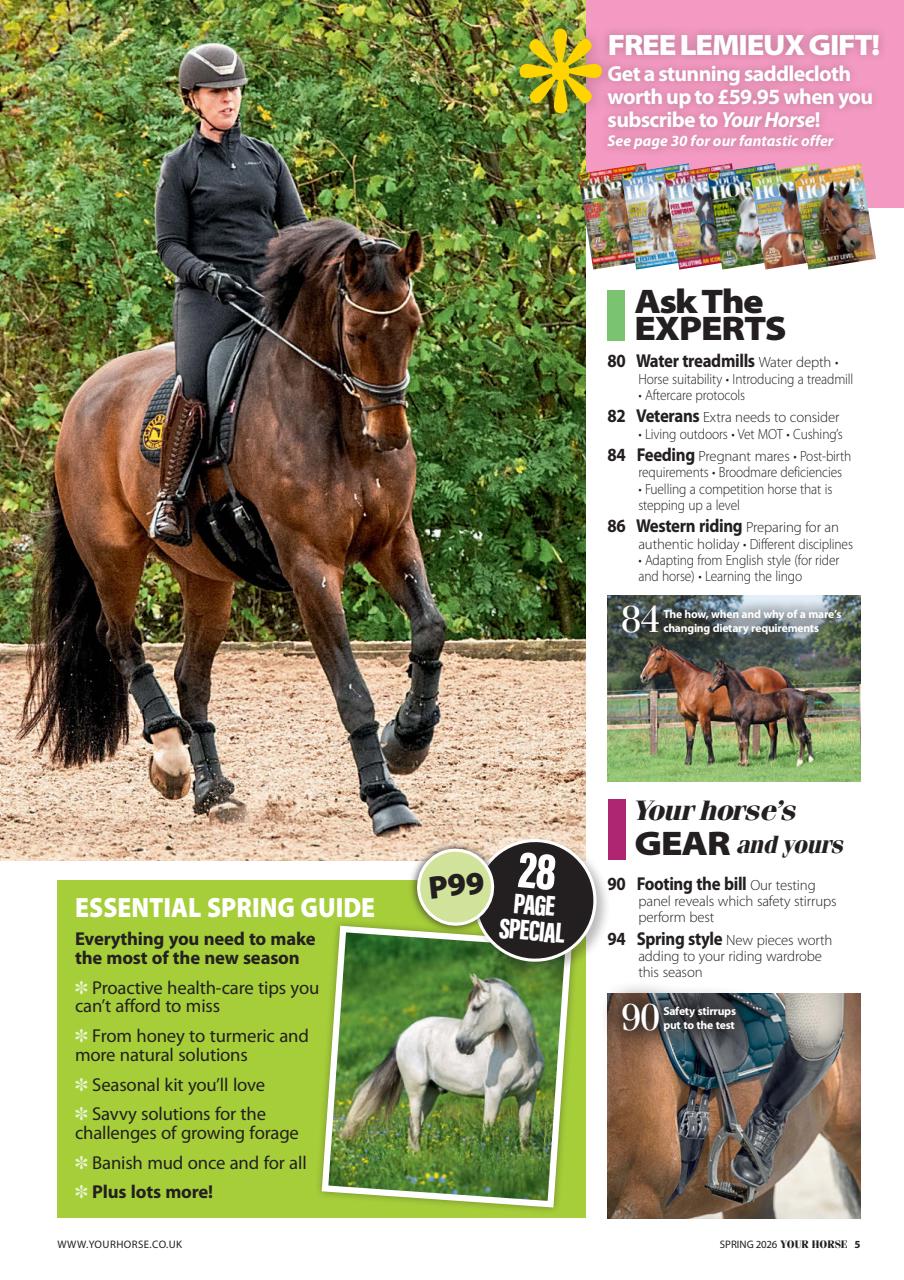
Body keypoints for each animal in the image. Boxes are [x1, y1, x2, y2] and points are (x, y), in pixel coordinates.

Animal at [20, 219, 445, 836]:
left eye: (412, 325)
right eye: (356, 333)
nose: (387, 435)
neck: (339, 428)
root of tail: (83, 397)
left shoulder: (390, 541)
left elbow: (430, 629)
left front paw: (408, 739)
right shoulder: (309, 566)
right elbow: (350, 688)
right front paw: (384, 797)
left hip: (207, 578)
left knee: (190, 676)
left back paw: (212, 789)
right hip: (112, 554)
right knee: (121, 641)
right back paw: (170, 758)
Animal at [340, 975, 544, 1152]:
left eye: (476, 1007)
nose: (460, 1044)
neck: (524, 1056)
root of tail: (403, 1036)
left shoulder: (527, 1096)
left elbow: (525, 1133)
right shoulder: (494, 1095)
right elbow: (488, 1131)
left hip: (431, 1093)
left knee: (414, 1125)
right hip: (416, 1090)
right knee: (415, 1125)